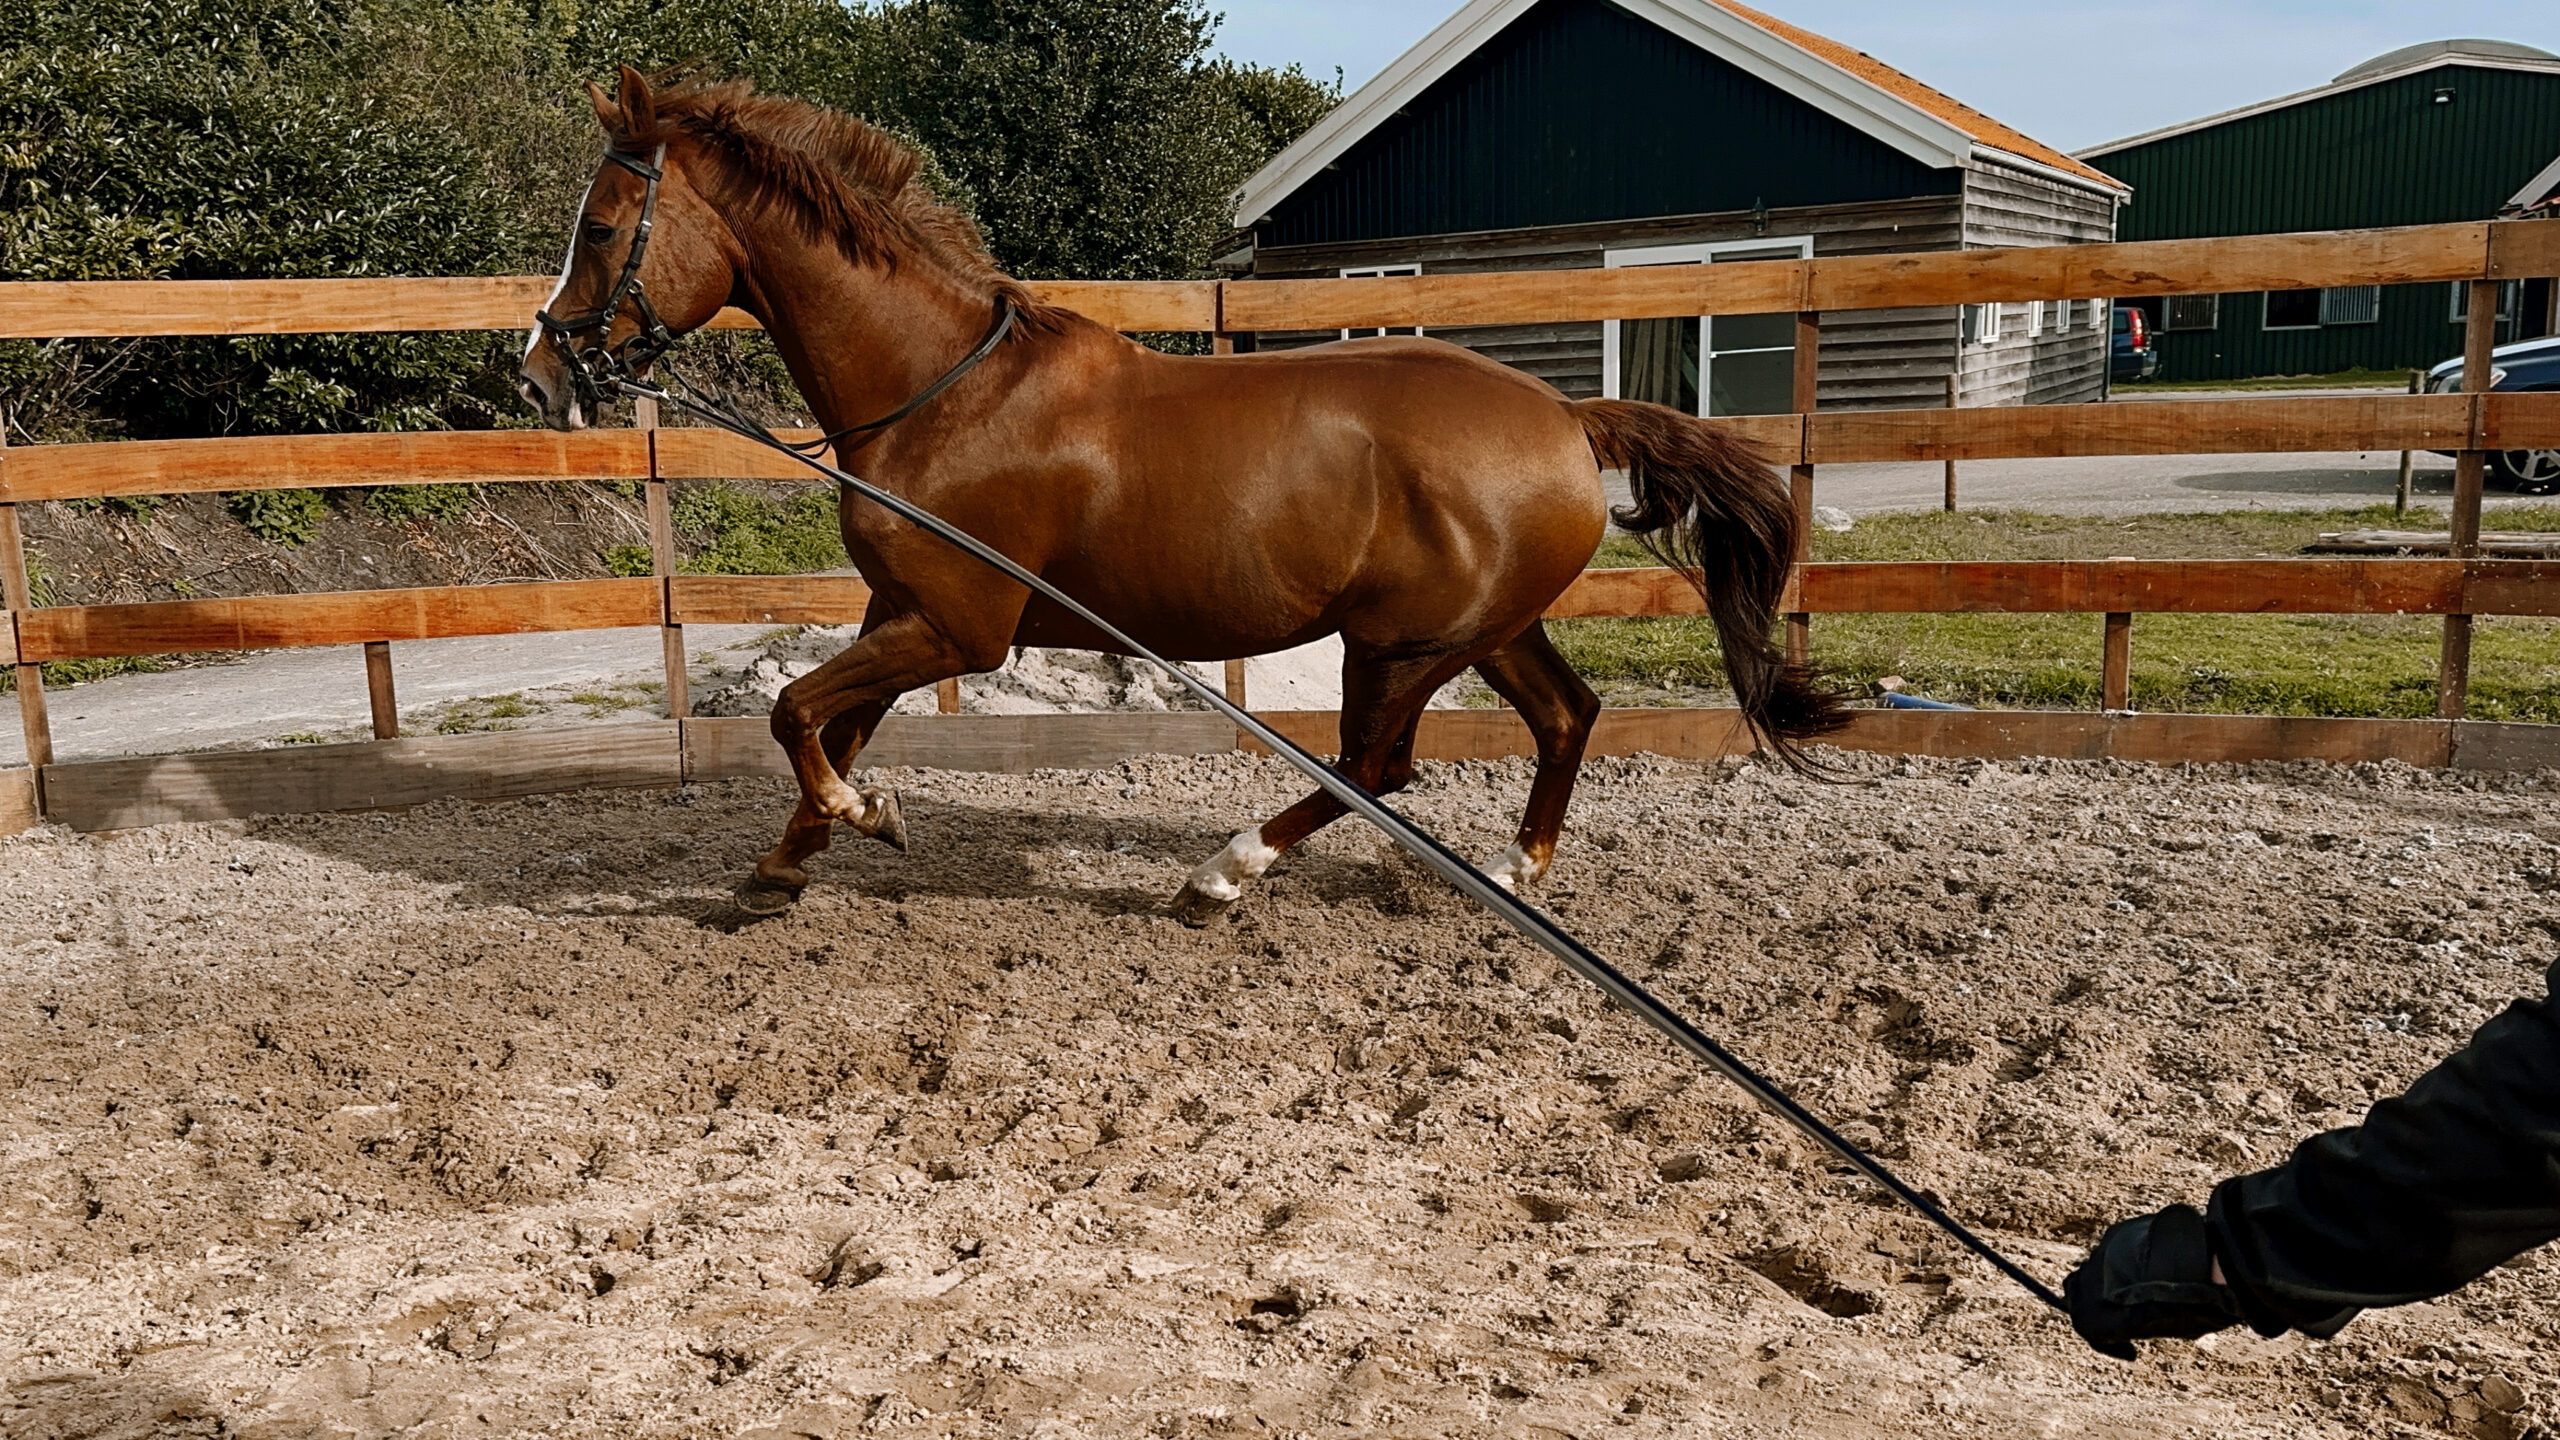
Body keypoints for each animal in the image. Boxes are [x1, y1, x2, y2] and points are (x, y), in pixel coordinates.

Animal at [518, 68, 1847, 921]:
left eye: (602, 225)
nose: (542, 367)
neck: (940, 392)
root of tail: (1567, 418)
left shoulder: (956, 628)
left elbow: (796, 714)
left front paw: (857, 818)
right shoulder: (900, 612)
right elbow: (828, 725)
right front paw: (791, 860)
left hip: (1401, 646)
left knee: (1377, 768)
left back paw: (1219, 876)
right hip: (1485, 630)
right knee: (1565, 719)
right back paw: (1517, 875)